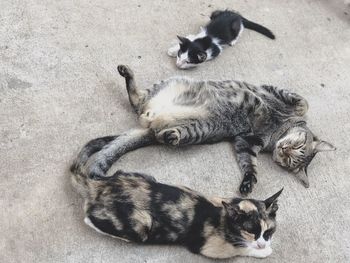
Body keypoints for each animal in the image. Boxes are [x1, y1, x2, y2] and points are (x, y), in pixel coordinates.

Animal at [69, 65, 334, 195]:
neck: (277, 129)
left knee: (158, 127)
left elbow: (250, 165)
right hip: (168, 83)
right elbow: (302, 102)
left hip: (196, 130)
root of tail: (150, 122)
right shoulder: (272, 94)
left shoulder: (246, 142)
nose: (285, 150)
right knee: (137, 97)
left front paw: (248, 182)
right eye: (298, 147)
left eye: (291, 161)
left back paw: (169, 135)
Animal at [70, 163, 282, 260]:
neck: (223, 216)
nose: (263, 243)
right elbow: (239, 249)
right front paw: (263, 251)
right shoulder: (208, 247)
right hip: (140, 226)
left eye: (269, 231)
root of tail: (98, 185)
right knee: (90, 218)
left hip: (145, 176)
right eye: (251, 231)